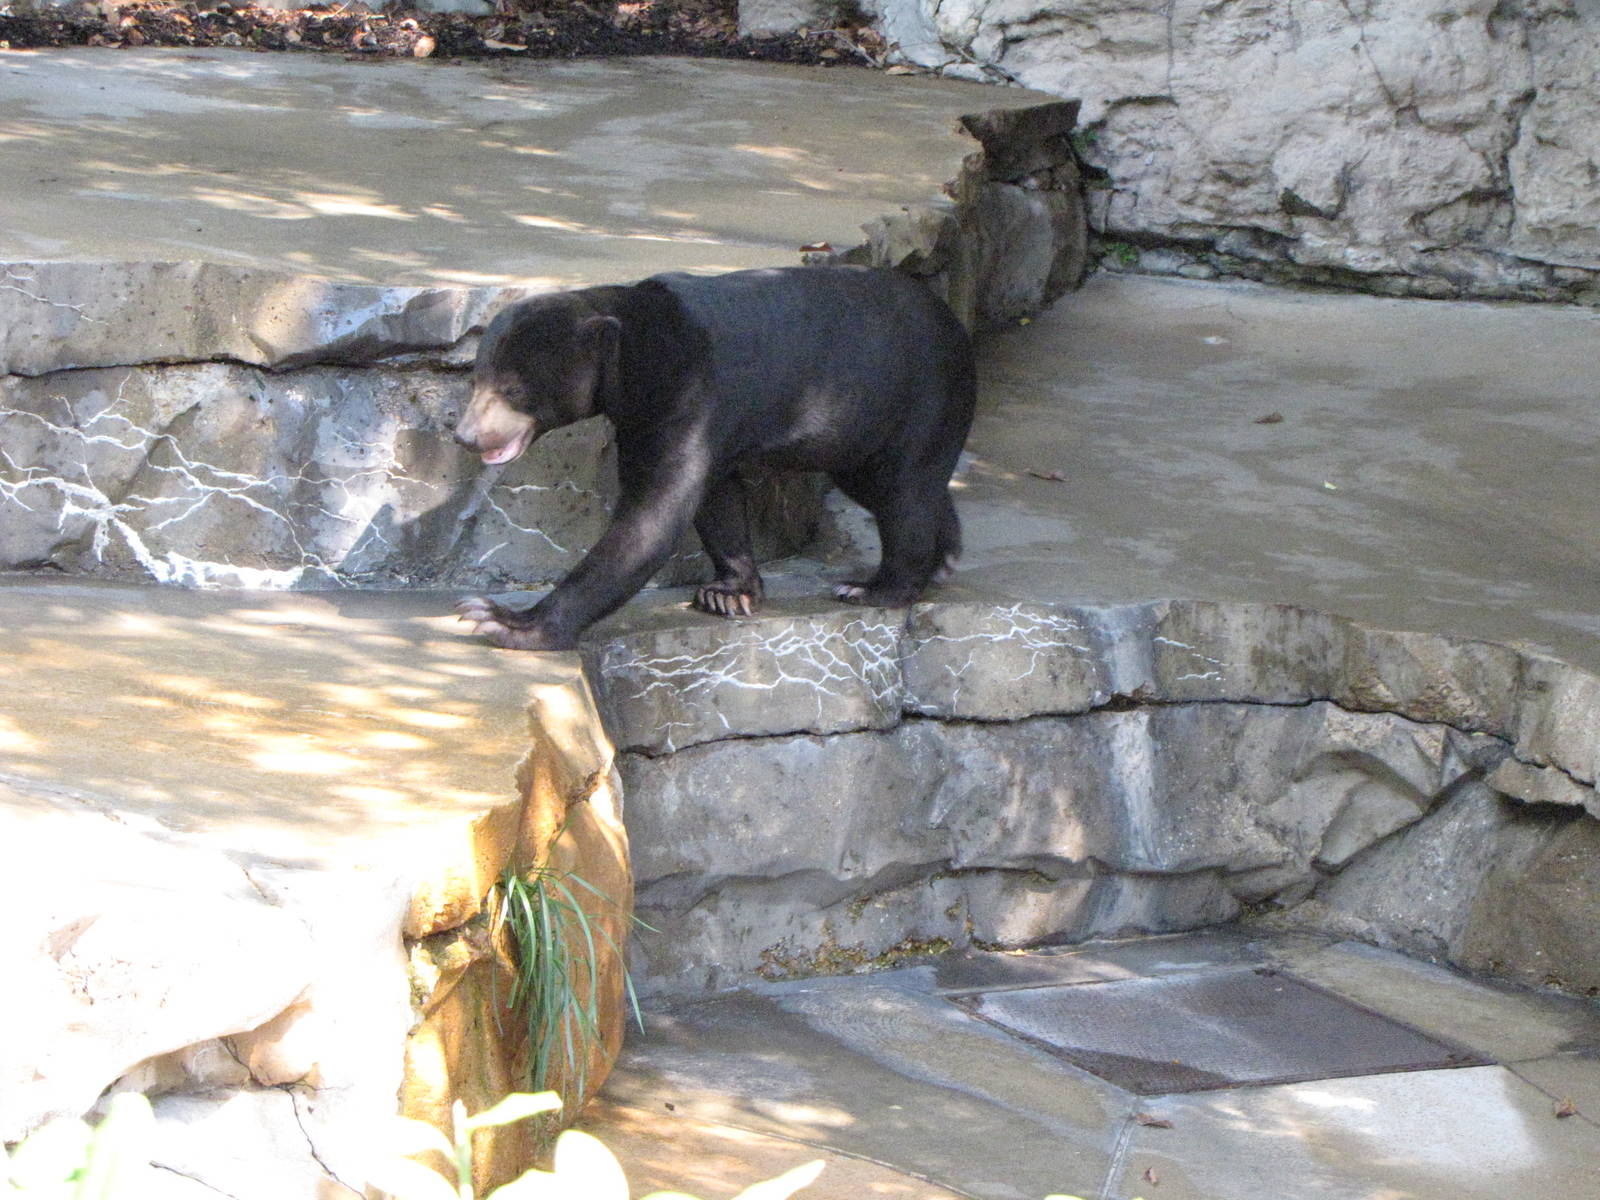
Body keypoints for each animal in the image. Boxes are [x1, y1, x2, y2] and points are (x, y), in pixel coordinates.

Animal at [454, 265, 976, 651]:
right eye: (476, 379)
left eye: (513, 389)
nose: (465, 436)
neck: (639, 357)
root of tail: (954, 322)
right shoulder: (653, 418)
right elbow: (714, 496)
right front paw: (728, 593)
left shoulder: (692, 394)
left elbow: (654, 513)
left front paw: (502, 620)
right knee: (888, 486)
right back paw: (945, 554)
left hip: (918, 397)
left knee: (904, 491)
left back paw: (876, 587)